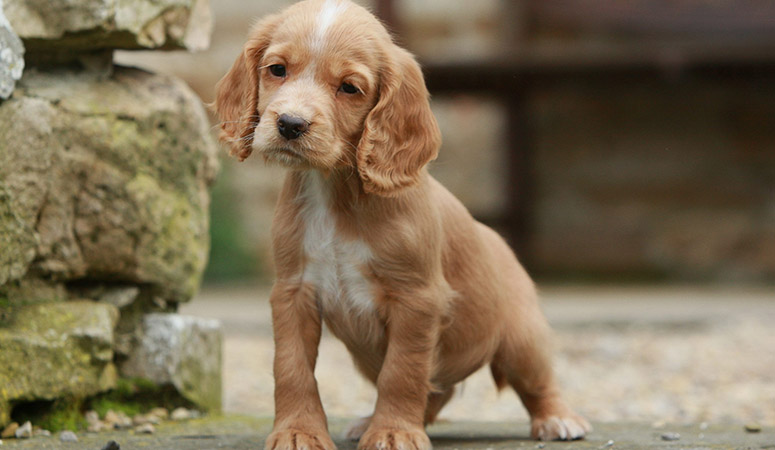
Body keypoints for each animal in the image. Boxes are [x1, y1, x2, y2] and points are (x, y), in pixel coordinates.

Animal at [215, 1, 592, 448]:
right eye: (277, 69)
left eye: (349, 88)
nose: (290, 124)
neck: (336, 193)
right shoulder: (293, 292)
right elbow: (292, 367)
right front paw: (298, 432)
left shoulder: (417, 299)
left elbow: (403, 371)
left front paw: (394, 431)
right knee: (435, 392)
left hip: (522, 336)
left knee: (536, 380)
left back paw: (557, 419)